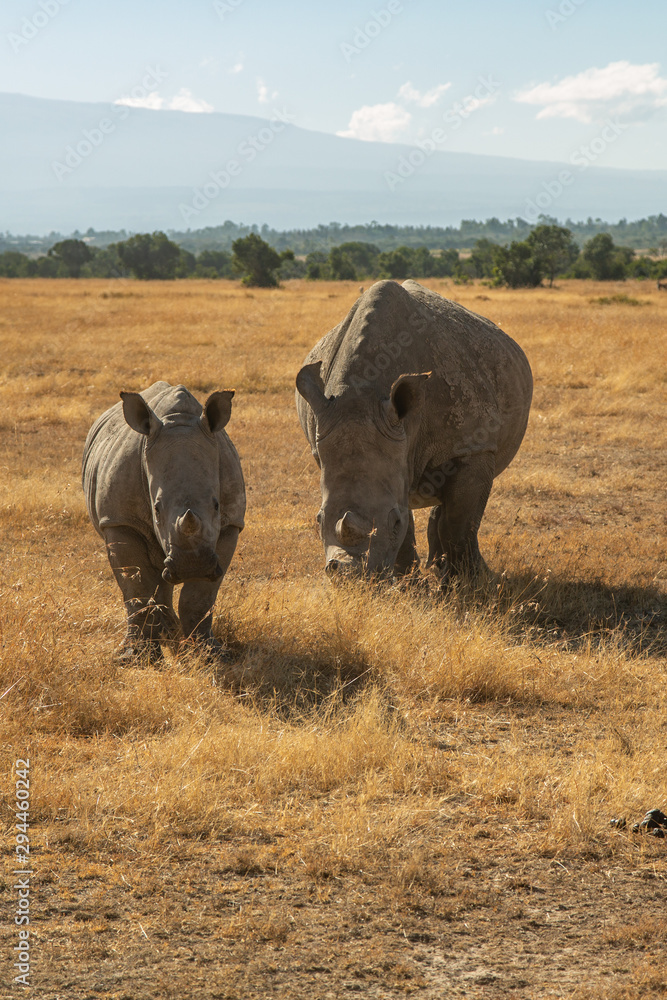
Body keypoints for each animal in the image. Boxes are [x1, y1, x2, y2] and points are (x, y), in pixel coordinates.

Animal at [82, 381, 245, 661]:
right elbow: (136, 588)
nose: (193, 565)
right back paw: (165, 634)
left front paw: (209, 654)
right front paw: (136, 657)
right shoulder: (119, 521)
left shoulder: (229, 524)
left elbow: (200, 597)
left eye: (216, 505)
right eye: (156, 509)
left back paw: (170, 632)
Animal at [295, 280, 532, 584]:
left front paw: (468, 583)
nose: (351, 577)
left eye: (394, 522)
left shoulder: (473, 447)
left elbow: (460, 522)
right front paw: (408, 582)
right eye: (318, 519)